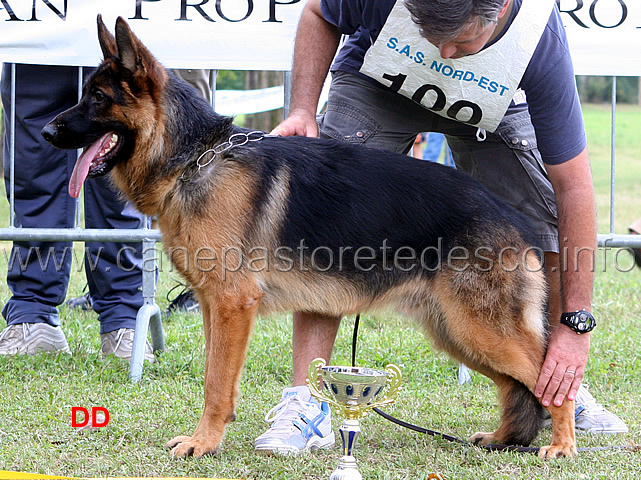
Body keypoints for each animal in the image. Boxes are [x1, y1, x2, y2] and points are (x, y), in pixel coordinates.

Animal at [42, 15, 576, 458]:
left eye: (97, 98)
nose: (46, 131)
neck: (197, 159)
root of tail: (515, 221)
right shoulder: (215, 306)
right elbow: (217, 378)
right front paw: (210, 438)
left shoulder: (233, 304)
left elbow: (216, 384)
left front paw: (204, 443)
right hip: (456, 332)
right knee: (517, 386)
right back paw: (505, 438)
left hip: (480, 329)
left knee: (550, 378)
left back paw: (561, 445)